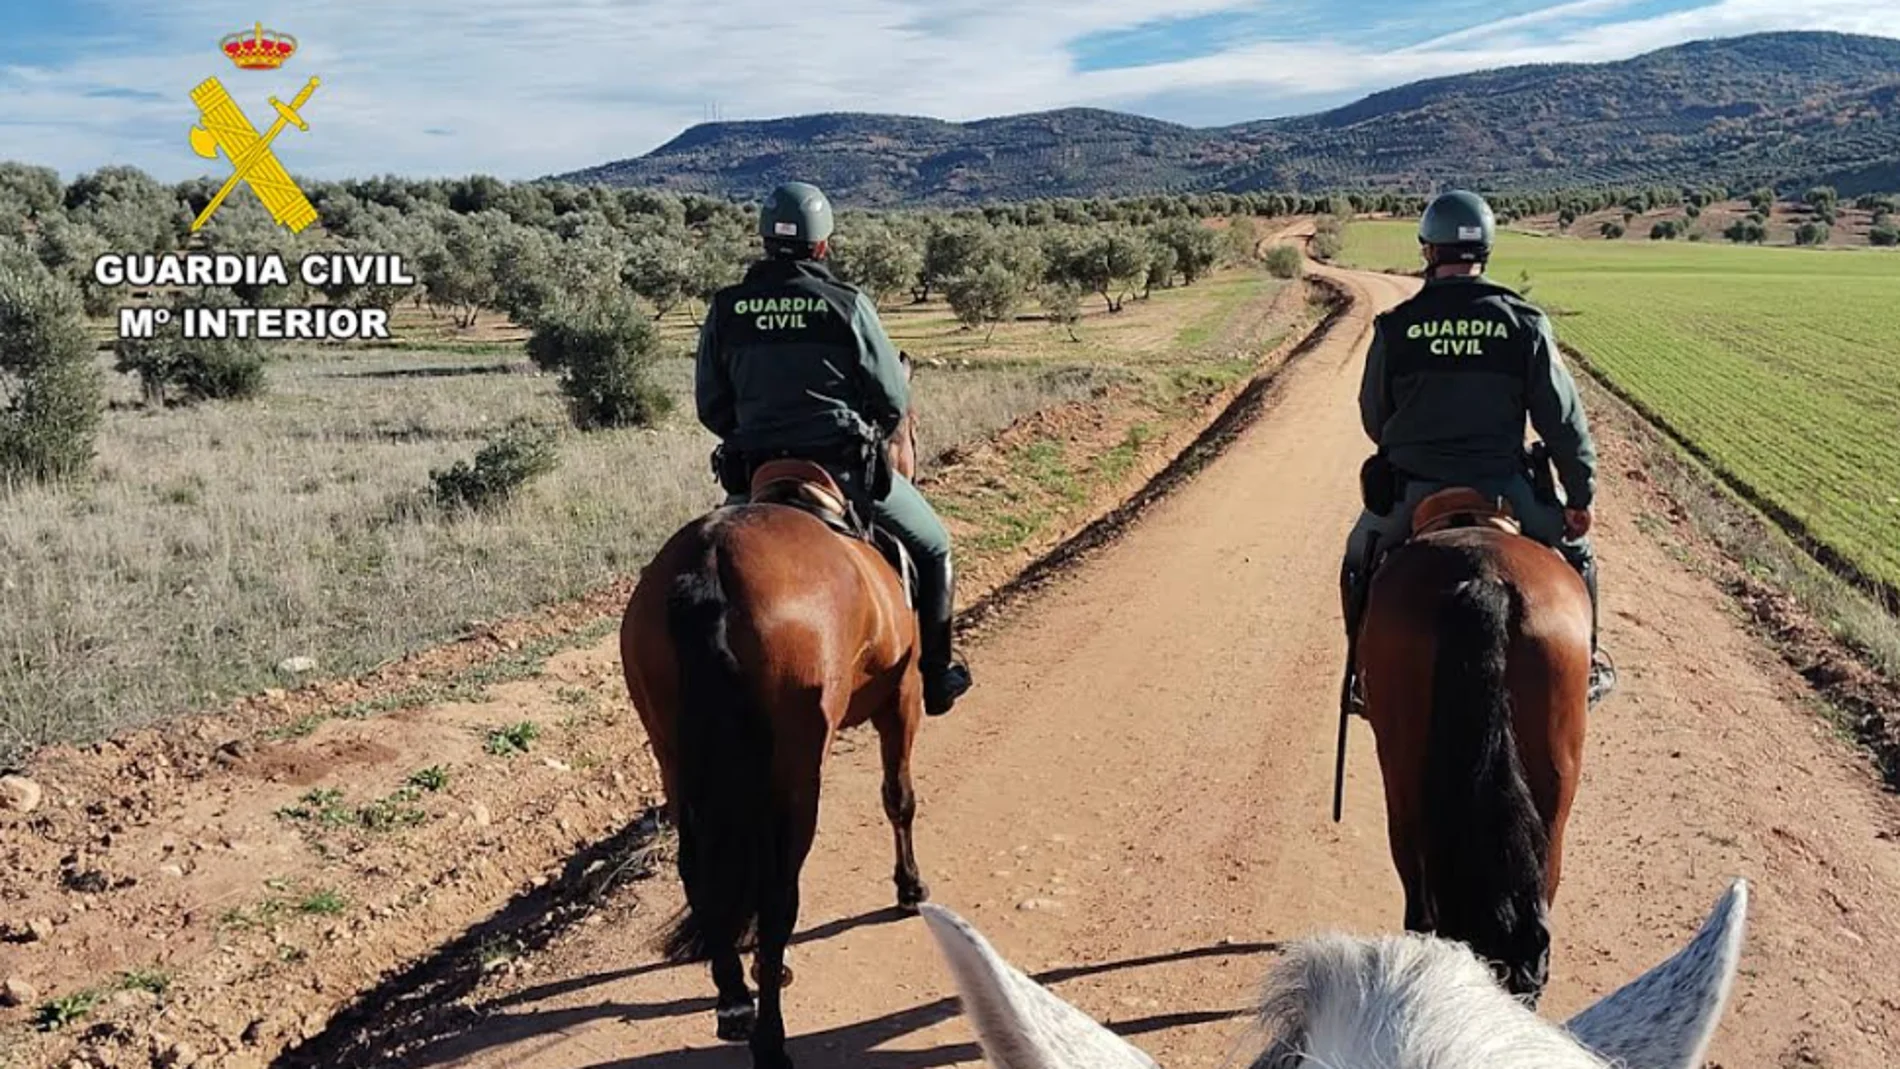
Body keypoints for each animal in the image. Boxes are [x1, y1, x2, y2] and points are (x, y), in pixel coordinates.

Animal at [619, 412, 923, 1069]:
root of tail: (711, 567)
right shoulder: (904, 697)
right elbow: (899, 797)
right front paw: (910, 888)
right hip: (796, 770)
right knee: (780, 890)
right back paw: (770, 1037)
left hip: (677, 759)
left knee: (698, 871)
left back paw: (736, 998)